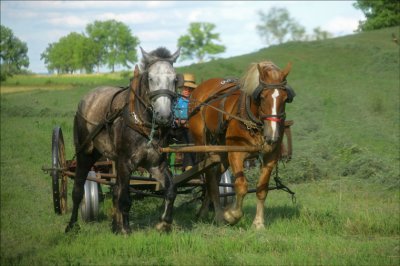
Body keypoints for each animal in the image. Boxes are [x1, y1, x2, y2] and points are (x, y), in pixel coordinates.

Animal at [66, 46, 181, 234]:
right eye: (150, 78)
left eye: (174, 79)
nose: (164, 116)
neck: (142, 121)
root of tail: (88, 98)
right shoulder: (126, 163)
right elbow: (125, 198)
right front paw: (126, 229)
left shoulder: (155, 164)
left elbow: (171, 190)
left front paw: (164, 222)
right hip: (85, 153)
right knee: (78, 189)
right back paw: (71, 225)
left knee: (116, 190)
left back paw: (115, 225)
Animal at [188, 60, 294, 229]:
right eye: (262, 97)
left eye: (285, 98)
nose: (272, 136)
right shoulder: (236, 154)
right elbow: (241, 186)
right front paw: (232, 215)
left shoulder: (271, 156)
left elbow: (262, 188)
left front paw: (258, 223)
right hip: (204, 145)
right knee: (210, 177)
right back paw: (217, 215)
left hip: (221, 152)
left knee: (215, 178)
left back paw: (208, 211)